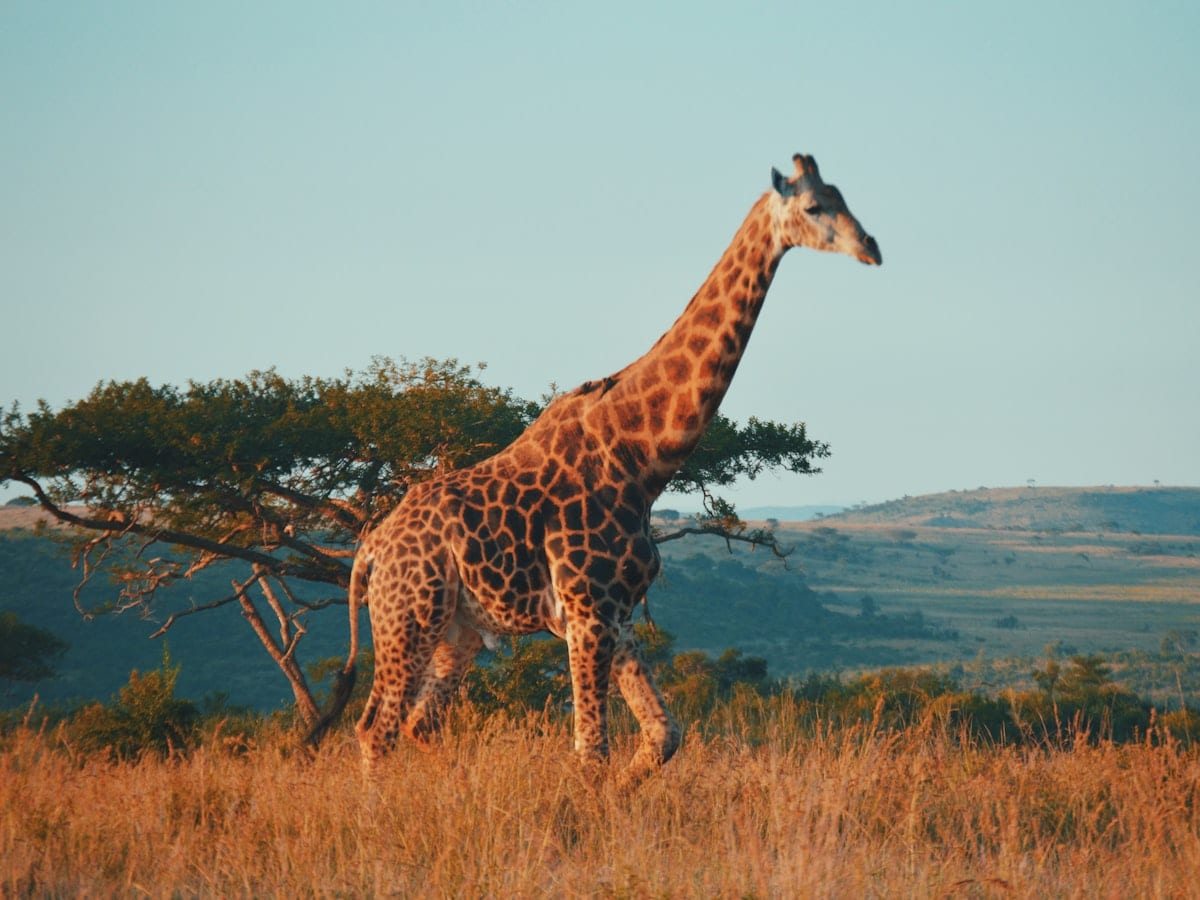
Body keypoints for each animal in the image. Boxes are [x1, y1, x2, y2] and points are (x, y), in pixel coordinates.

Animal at [308, 152, 881, 785]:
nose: (872, 248)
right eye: (814, 206)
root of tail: (370, 549)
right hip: (409, 616)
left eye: (844, 196)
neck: (642, 458)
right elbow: (591, 752)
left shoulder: (616, 614)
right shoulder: (586, 613)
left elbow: (664, 735)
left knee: (418, 724)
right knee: (376, 728)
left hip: (459, 630)